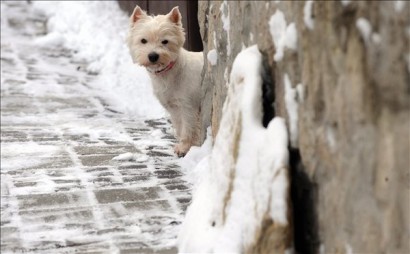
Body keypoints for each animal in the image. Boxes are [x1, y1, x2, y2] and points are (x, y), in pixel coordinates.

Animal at [126, 5, 203, 157]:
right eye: (143, 40)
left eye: (165, 41)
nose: (153, 56)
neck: (167, 74)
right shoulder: (173, 107)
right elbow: (179, 127)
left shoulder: (188, 106)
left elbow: (187, 128)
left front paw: (183, 148)